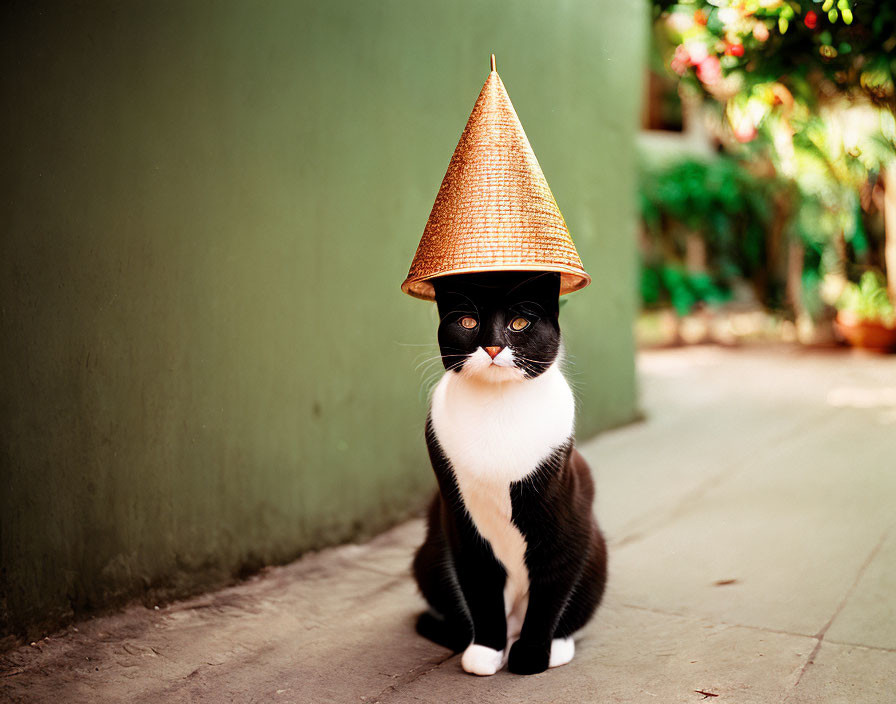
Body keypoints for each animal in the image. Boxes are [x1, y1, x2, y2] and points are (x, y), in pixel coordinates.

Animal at [412, 270, 608, 676]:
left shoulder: (565, 515)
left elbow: (552, 587)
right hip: (428, 554)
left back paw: (556, 647)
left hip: (596, 549)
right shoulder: (461, 523)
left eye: (519, 323)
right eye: (468, 322)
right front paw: (485, 651)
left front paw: (532, 655)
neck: (498, 407)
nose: (492, 346)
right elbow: (479, 583)